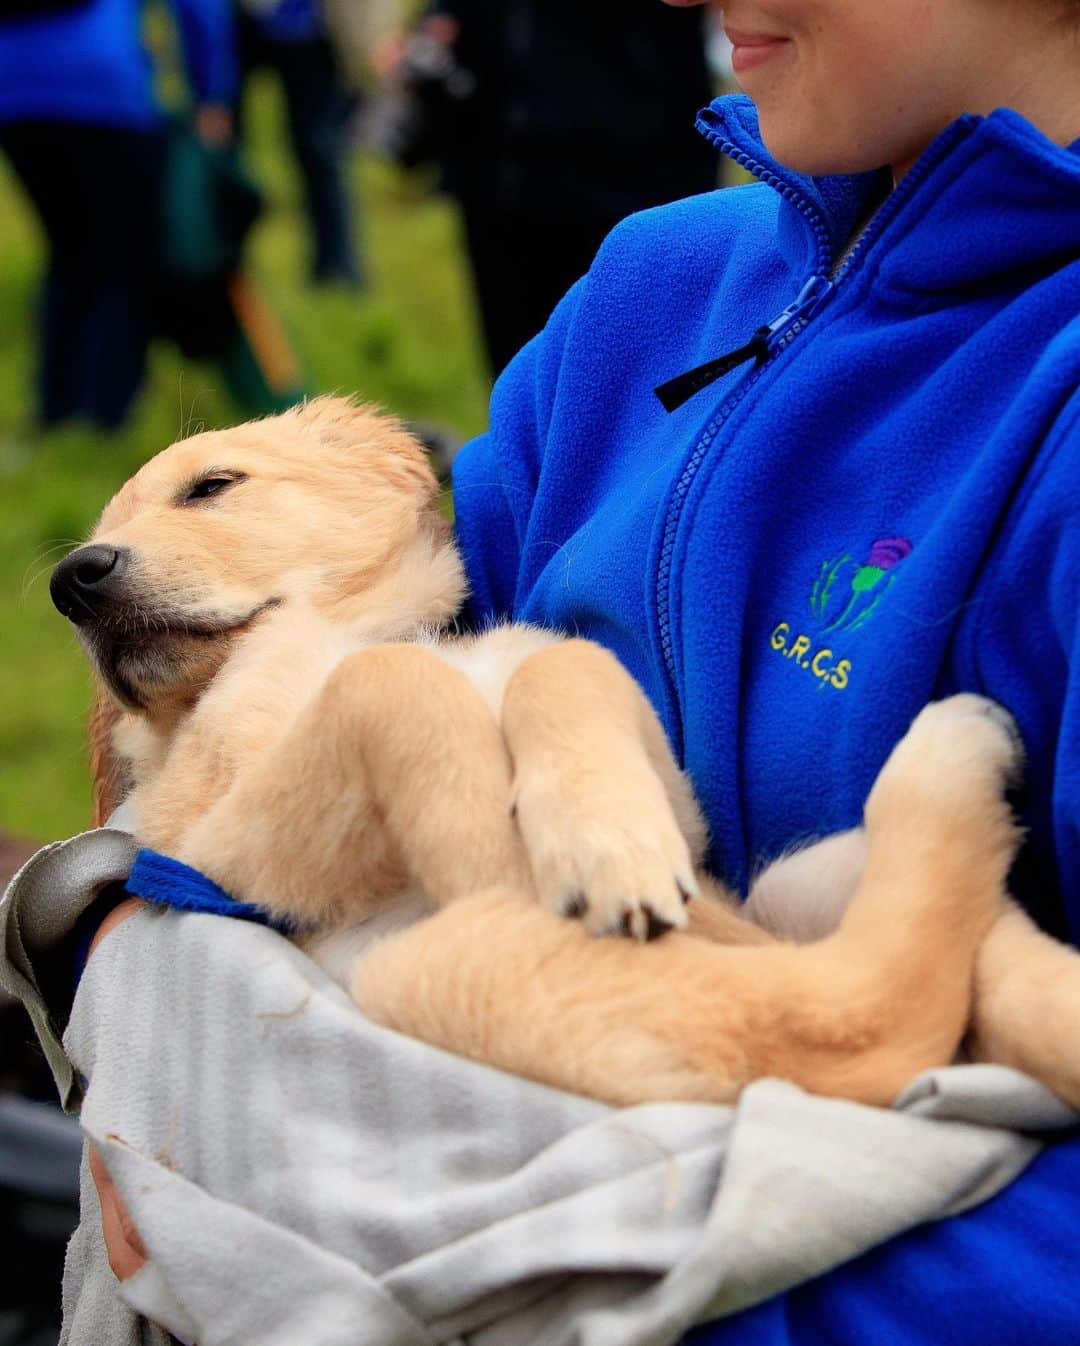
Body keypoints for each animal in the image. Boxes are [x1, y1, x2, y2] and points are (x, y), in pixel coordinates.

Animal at [52, 401, 1080, 1114]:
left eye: (212, 486)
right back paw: (955, 746)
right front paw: (493, 845)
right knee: (869, 1017)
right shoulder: (212, 843)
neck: (329, 632)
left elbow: (563, 664)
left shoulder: (670, 795)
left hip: (804, 881)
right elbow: (389, 686)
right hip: (439, 972)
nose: (74, 579)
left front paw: (605, 839)